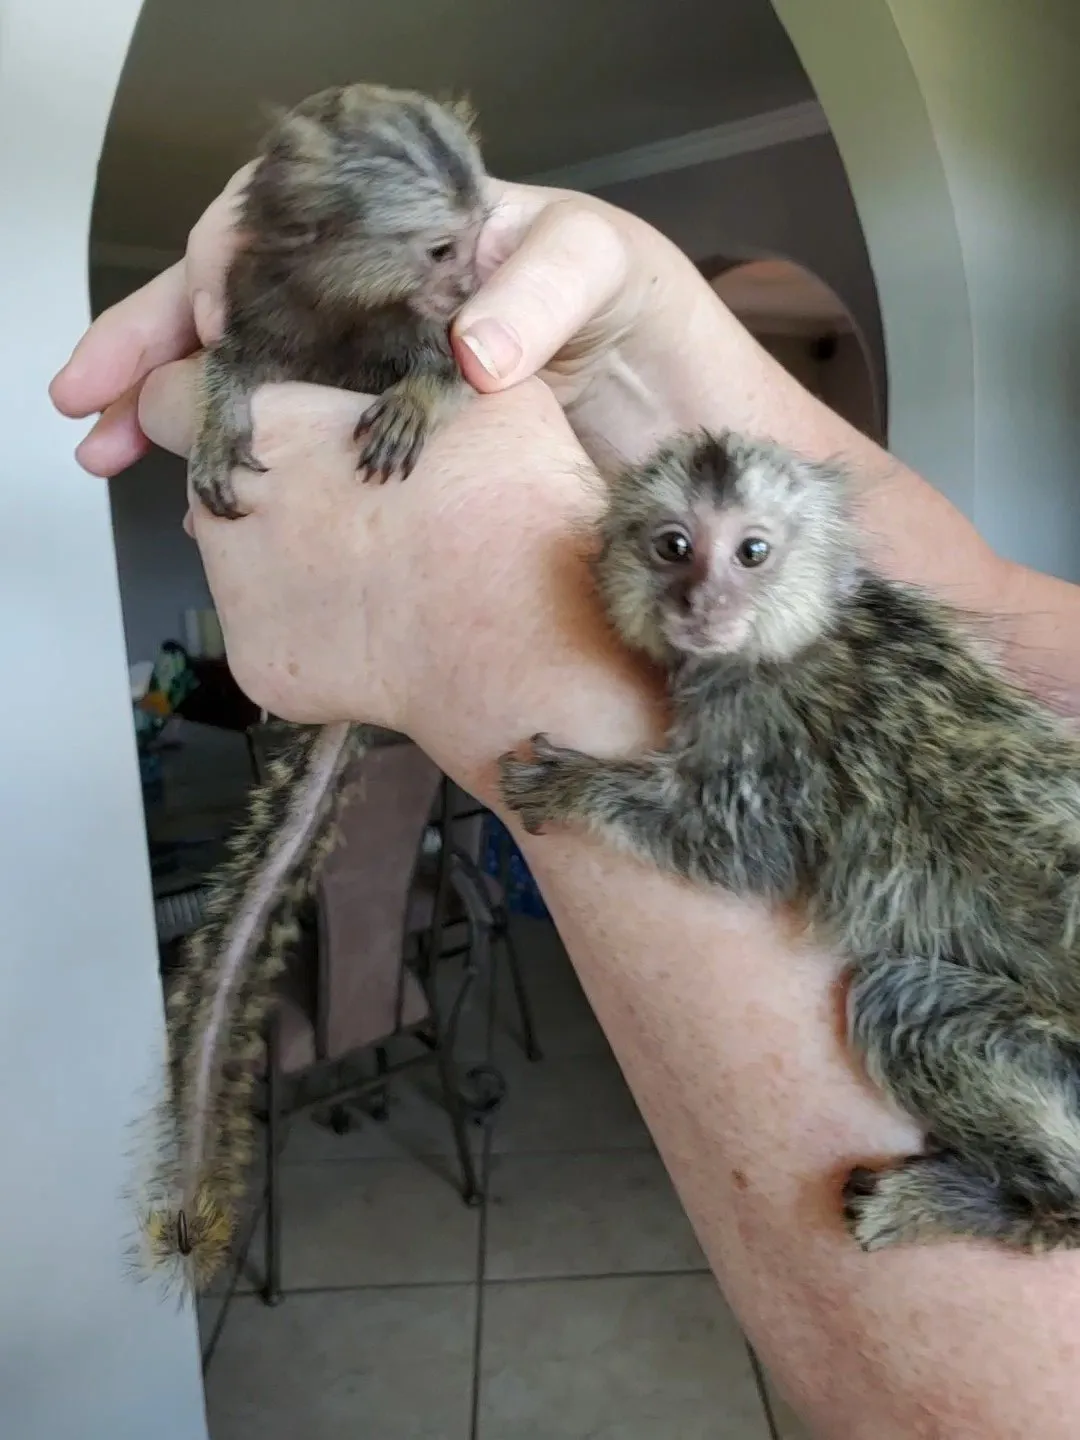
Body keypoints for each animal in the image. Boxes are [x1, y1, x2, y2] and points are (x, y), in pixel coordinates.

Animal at [139, 82, 489, 1295]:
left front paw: (422, 395)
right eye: (440, 248)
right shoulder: (255, 301)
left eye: (482, 237)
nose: (479, 282)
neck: (348, 306)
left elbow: (445, 367)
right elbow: (228, 363)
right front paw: (214, 427)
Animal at [498, 428, 1080, 1255]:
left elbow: (743, 854)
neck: (795, 642)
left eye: (752, 552)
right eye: (674, 546)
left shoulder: (767, 734)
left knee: (906, 1006)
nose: (702, 603)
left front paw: (574, 786)